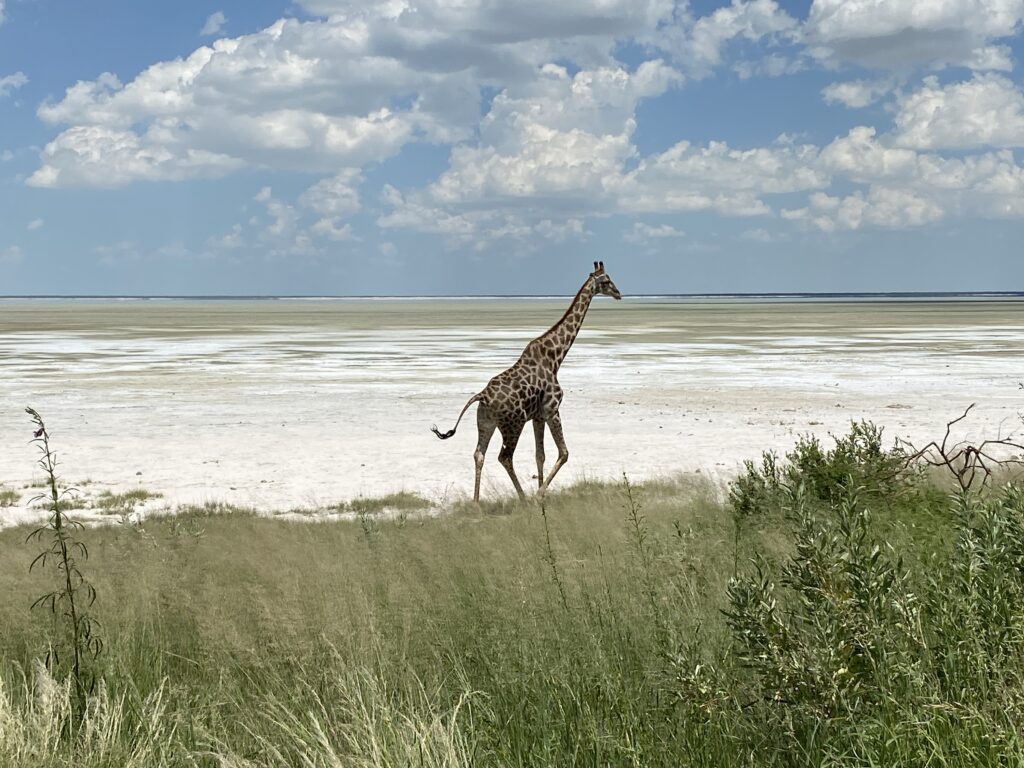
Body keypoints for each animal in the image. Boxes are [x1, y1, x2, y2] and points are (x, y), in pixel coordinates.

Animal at [430, 264, 618, 505]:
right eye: (606, 281)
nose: (619, 293)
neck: (555, 358)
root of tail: (482, 395)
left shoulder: (537, 416)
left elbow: (540, 455)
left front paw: (541, 494)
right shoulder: (552, 409)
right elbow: (564, 453)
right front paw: (539, 494)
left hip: (486, 423)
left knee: (479, 454)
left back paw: (476, 502)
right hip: (513, 424)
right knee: (504, 457)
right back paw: (523, 498)